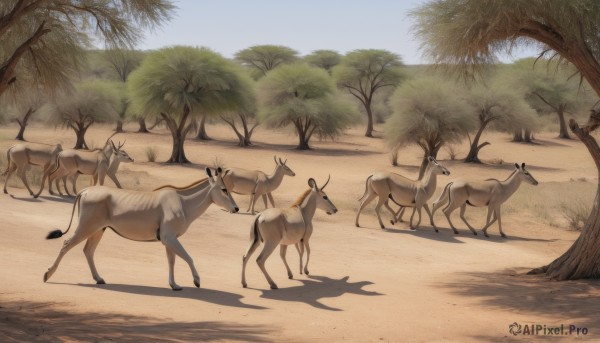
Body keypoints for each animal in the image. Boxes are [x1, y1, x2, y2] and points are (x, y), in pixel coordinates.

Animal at [43, 168, 239, 292]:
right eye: (224, 189)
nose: (236, 208)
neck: (183, 201)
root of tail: (85, 191)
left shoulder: (169, 240)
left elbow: (172, 261)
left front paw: (174, 285)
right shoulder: (169, 238)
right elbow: (188, 257)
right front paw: (196, 281)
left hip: (98, 230)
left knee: (88, 250)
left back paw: (99, 279)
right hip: (86, 227)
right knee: (66, 244)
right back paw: (47, 274)